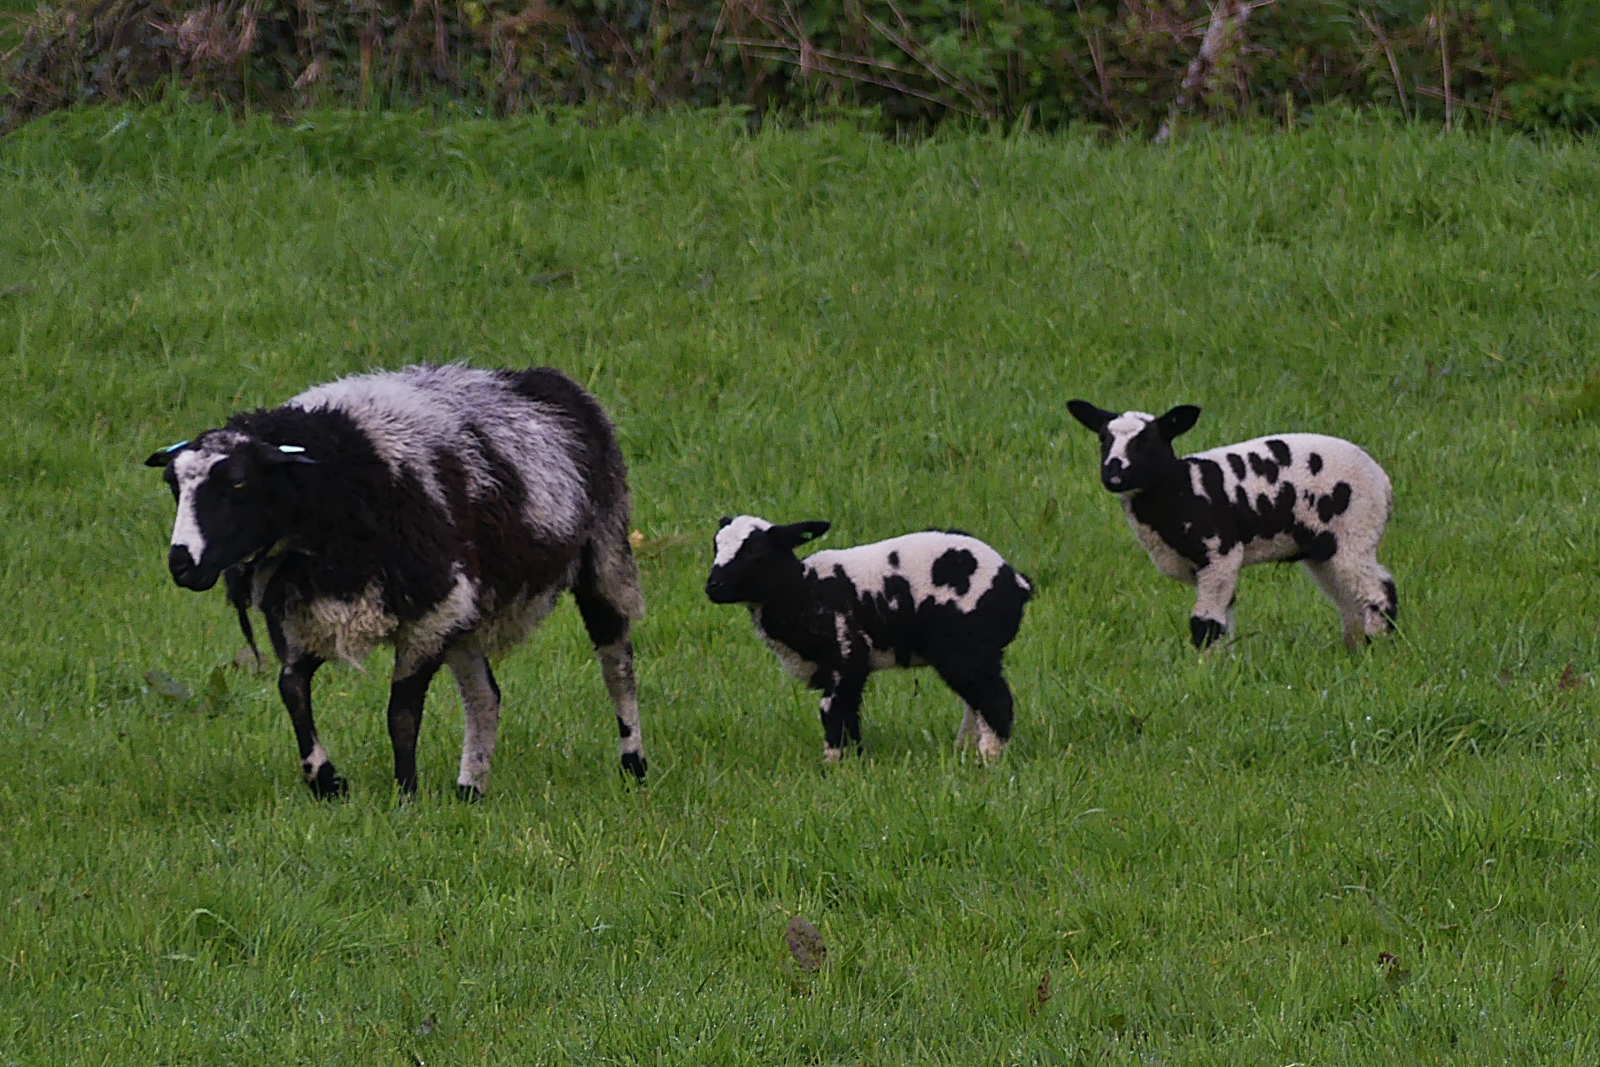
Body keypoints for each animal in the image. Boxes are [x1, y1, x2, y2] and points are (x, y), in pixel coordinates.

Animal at [147, 363, 646, 796]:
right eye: (174, 486)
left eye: (238, 483)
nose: (181, 565)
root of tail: (547, 380)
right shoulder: (304, 614)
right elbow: (292, 689)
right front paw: (325, 781)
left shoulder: (433, 611)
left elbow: (400, 711)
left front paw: (405, 793)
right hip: (467, 609)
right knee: (485, 695)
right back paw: (470, 790)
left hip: (603, 551)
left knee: (616, 664)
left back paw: (633, 765)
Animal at [704, 515, 1030, 758]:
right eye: (716, 546)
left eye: (755, 552)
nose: (712, 586)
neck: (802, 589)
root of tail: (1016, 582)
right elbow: (848, 714)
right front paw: (854, 761)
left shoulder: (847, 654)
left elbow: (834, 711)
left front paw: (835, 766)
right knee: (975, 702)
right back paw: (963, 750)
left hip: (967, 647)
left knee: (995, 701)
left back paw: (986, 759)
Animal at [1068, 399, 1395, 652]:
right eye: (1103, 440)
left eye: (1147, 442)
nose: (1114, 475)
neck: (1178, 489)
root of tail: (1383, 482)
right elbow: (1224, 615)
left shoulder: (1220, 552)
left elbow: (1206, 622)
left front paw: (1204, 671)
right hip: (1324, 549)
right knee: (1350, 601)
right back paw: (1355, 649)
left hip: (1355, 531)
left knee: (1379, 591)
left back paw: (1379, 647)